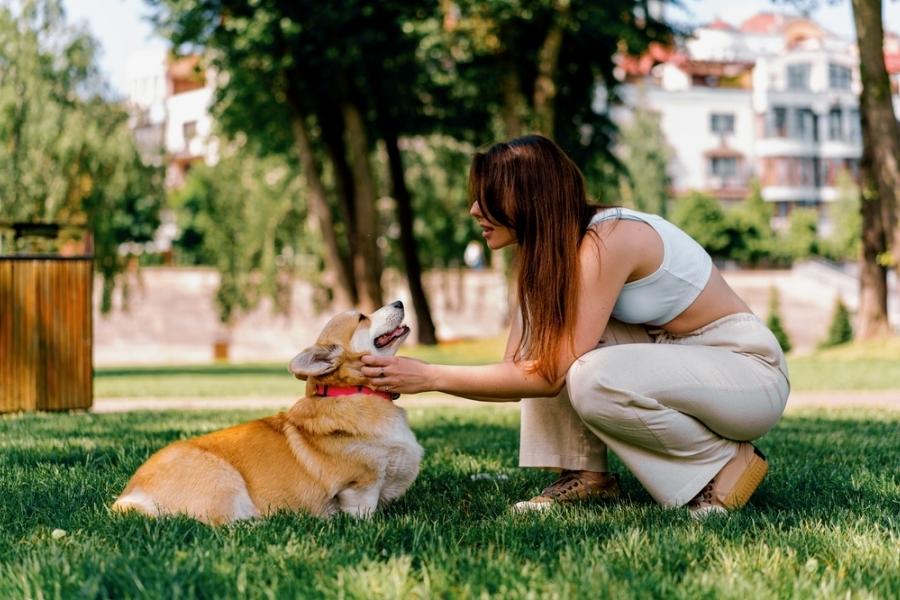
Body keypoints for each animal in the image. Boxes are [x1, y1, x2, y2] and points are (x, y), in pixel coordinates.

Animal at [111, 302, 422, 524]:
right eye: (361, 317)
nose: (398, 301)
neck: (352, 392)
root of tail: (132, 496)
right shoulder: (360, 488)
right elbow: (364, 515)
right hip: (225, 481)